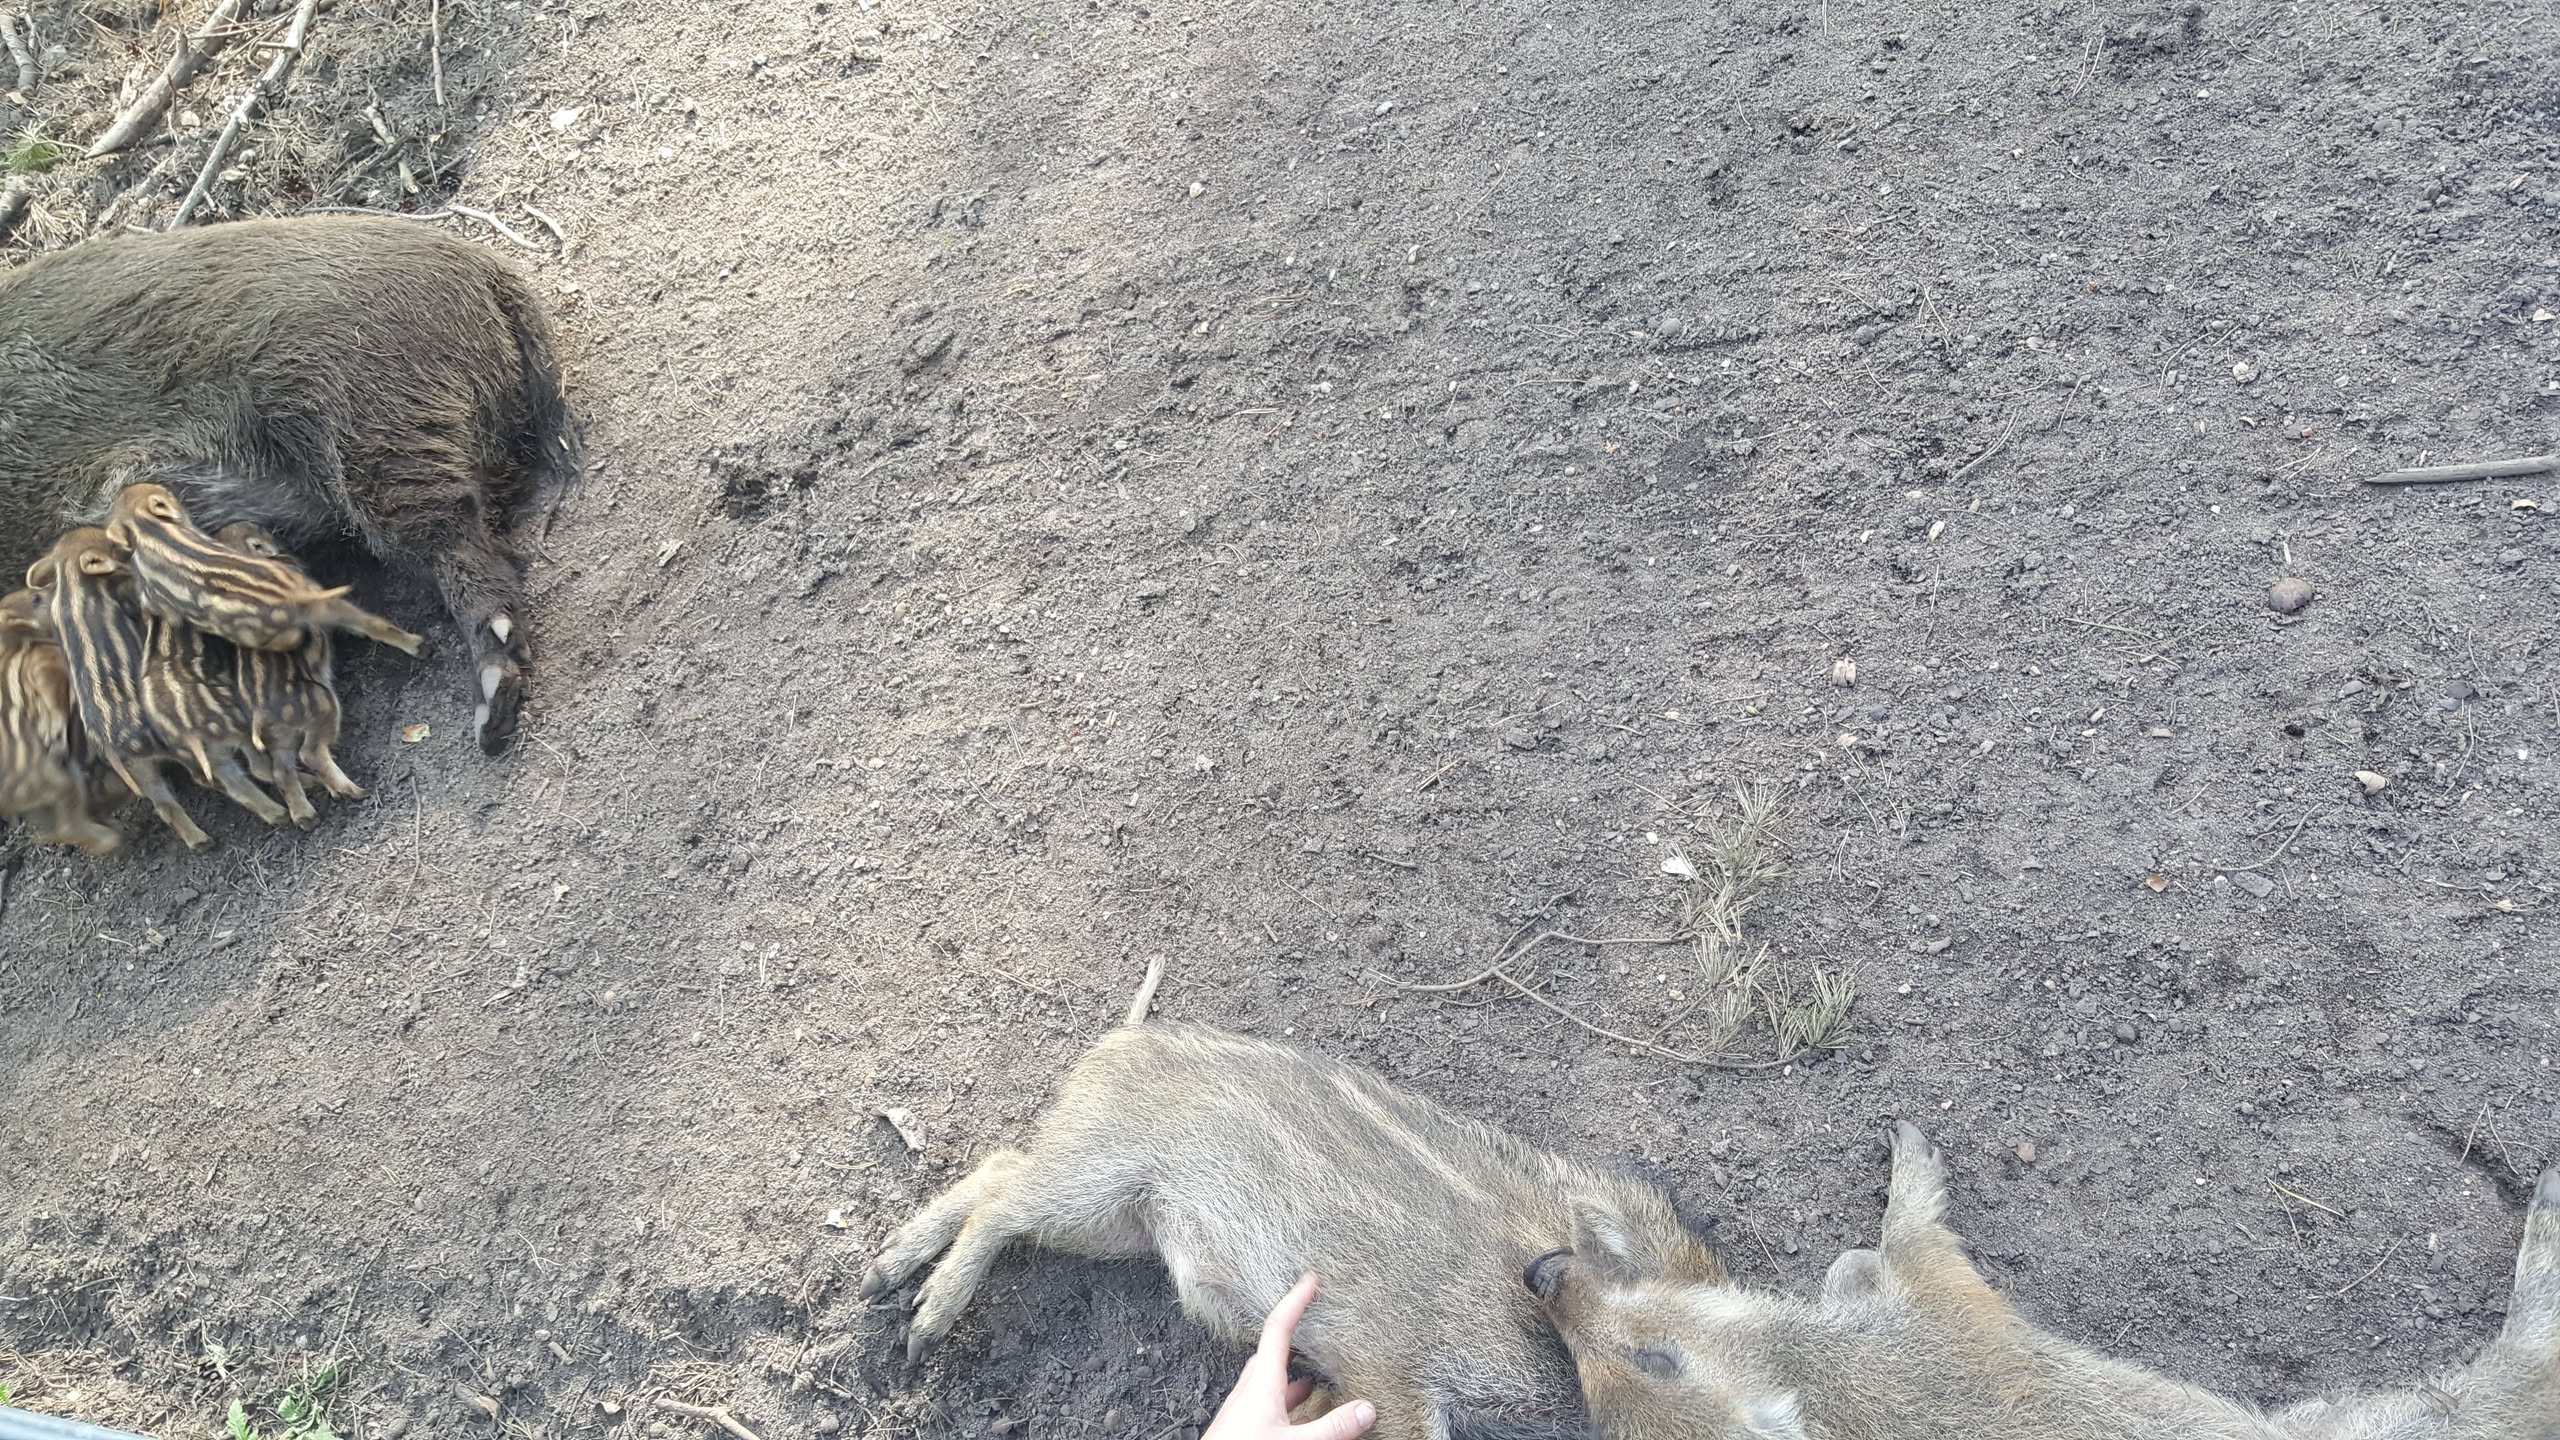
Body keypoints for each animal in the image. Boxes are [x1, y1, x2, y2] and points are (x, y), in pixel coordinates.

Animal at [864, 962, 1730, 1440]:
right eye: (1664, 1354)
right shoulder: (1393, 1359)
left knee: (1001, 1165)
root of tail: (1119, 1038)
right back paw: (917, 1324)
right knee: (1007, 1195)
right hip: (1098, 1178)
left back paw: (881, 1277)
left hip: (1119, 1222)